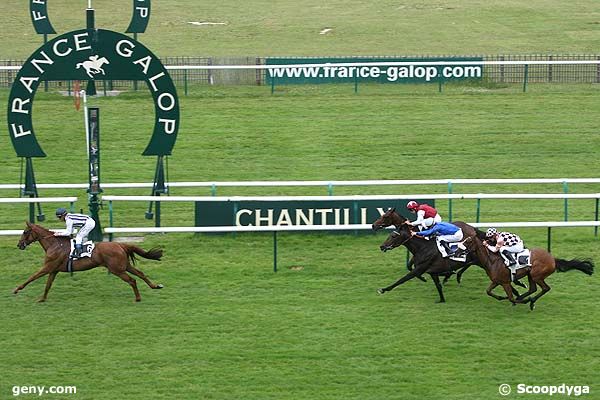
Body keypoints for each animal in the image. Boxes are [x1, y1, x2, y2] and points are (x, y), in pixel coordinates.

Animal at [14, 220, 164, 302]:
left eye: (25, 232)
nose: (19, 245)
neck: (55, 244)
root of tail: (121, 245)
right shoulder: (54, 270)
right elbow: (47, 285)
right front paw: (42, 299)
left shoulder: (48, 267)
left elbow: (32, 277)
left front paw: (16, 289)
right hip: (124, 265)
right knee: (140, 274)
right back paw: (155, 286)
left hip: (116, 269)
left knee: (132, 280)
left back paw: (138, 298)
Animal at [462, 236, 592, 310]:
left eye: (468, 241)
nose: (459, 247)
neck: (492, 260)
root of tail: (553, 259)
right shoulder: (497, 281)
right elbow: (488, 291)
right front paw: (503, 297)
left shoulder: (505, 282)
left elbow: (511, 298)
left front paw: (522, 300)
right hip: (531, 275)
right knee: (533, 289)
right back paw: (525, 297)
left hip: (536, 275)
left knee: (545, 288)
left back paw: (531, 301)